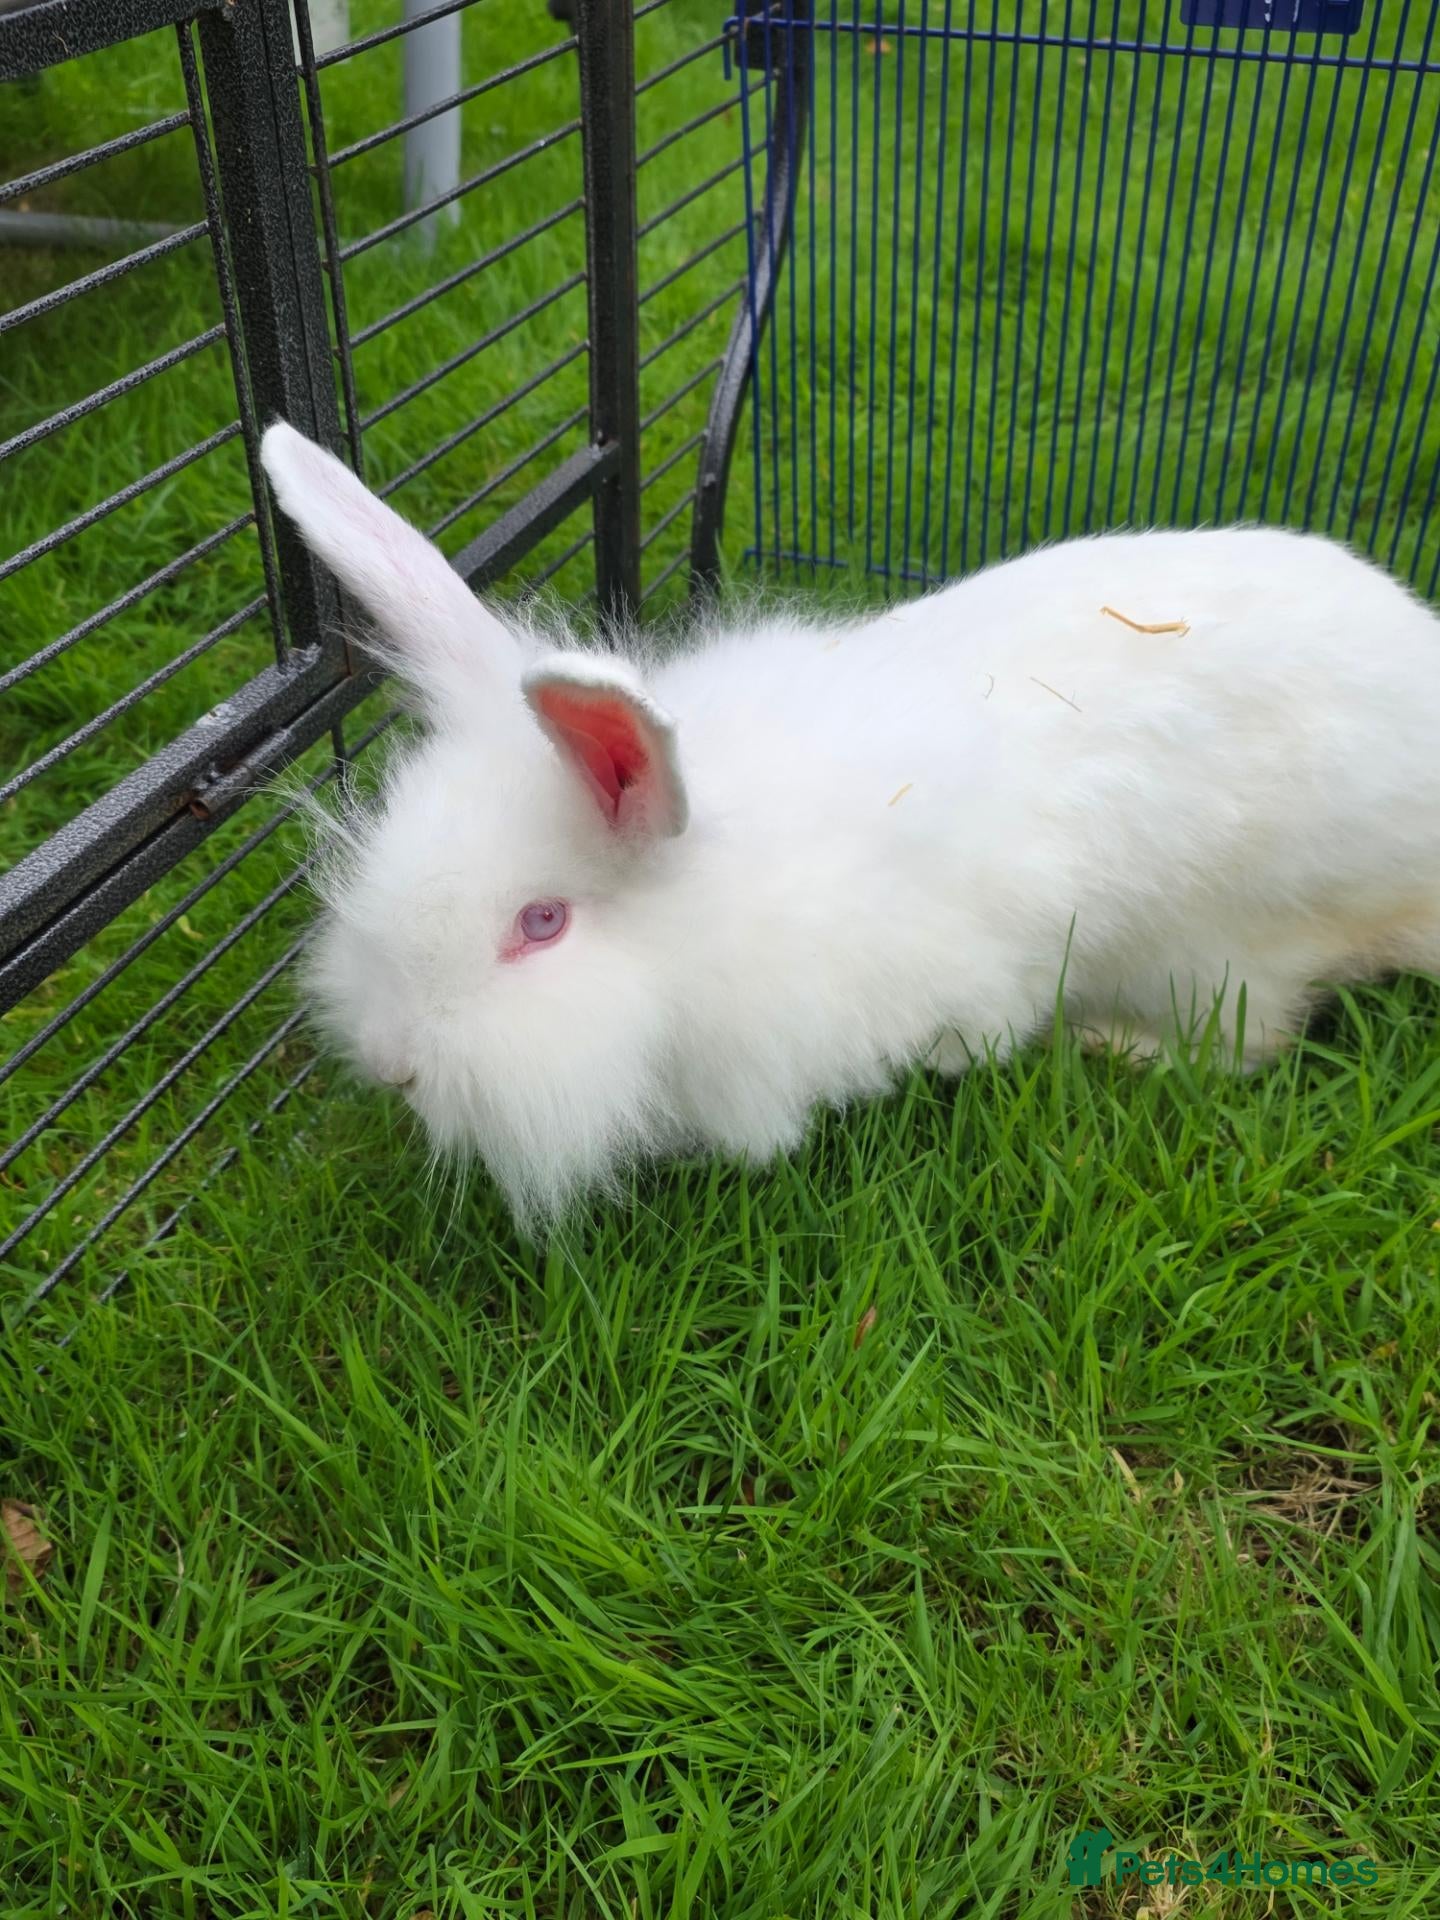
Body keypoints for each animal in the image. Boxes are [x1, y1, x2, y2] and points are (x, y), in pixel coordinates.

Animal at [260, 421, 1440, 1223]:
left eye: (540, 925)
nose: (393, 1066)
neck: (705, 913)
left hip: (1227, 948)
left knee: (1252, 1042)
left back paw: (1114, 1044)